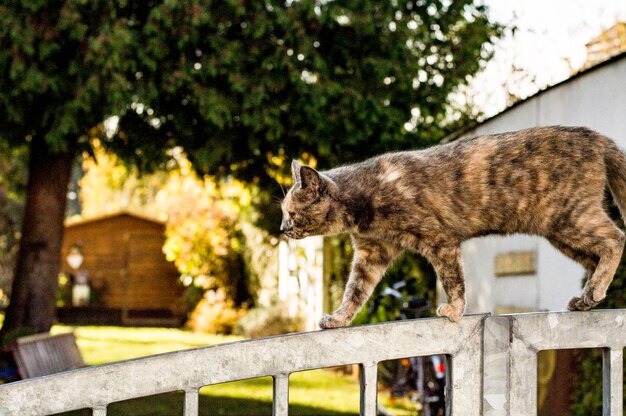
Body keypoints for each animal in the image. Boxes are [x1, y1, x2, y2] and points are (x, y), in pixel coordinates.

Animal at [280, 127, 624, 328]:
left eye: (292, 213)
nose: (282, 228)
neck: (365, 197)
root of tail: (598, 138)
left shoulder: (439, 240)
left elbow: (453, 279)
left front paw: (455, 310)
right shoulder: (371, 254)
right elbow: (355, 291)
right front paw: (339, 318)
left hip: (570, 218)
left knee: (616, 239)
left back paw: (594, 289)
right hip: (561, 233)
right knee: (595, 258)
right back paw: (587, 298)